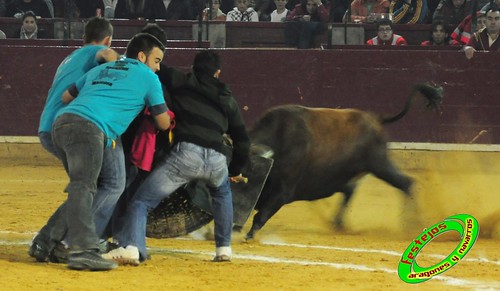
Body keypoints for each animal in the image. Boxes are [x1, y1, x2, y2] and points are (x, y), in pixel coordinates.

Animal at [242, 82, 442, 240]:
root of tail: (374, 118)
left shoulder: (283, 191)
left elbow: (261, 215)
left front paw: (249, 235)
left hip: (379, 164)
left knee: (406, 183)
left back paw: (411, 225)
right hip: (350, 172)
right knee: (350, 190)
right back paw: (338, 224)